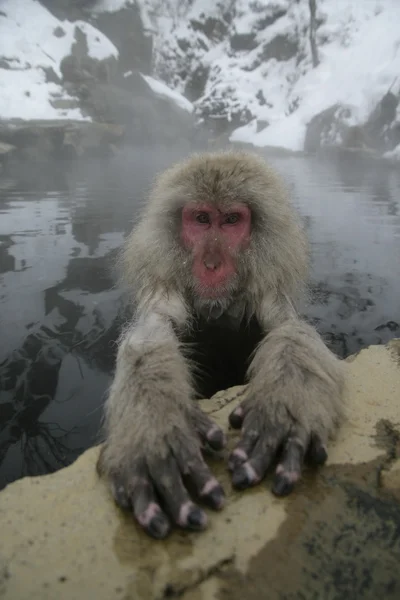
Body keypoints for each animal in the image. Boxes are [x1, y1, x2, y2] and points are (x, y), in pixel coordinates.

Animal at [97, 150, 344, 540]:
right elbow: (152, 333)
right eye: (201, 219)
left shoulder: (269, 289)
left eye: (231, 221)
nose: (212, 264)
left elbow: (289, 329)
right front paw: (154, 425)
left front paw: (284, 405)